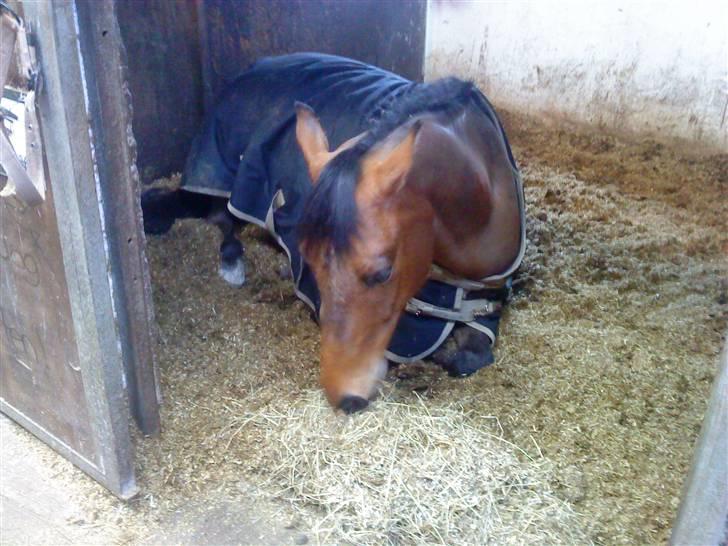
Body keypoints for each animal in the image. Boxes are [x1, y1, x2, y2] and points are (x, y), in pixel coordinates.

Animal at [141, 53, 525, 413]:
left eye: (383, 272)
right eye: (310, 265)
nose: (345, 398)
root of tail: (256, 67)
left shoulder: (487, 304)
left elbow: (470, 356)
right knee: (204, 211)